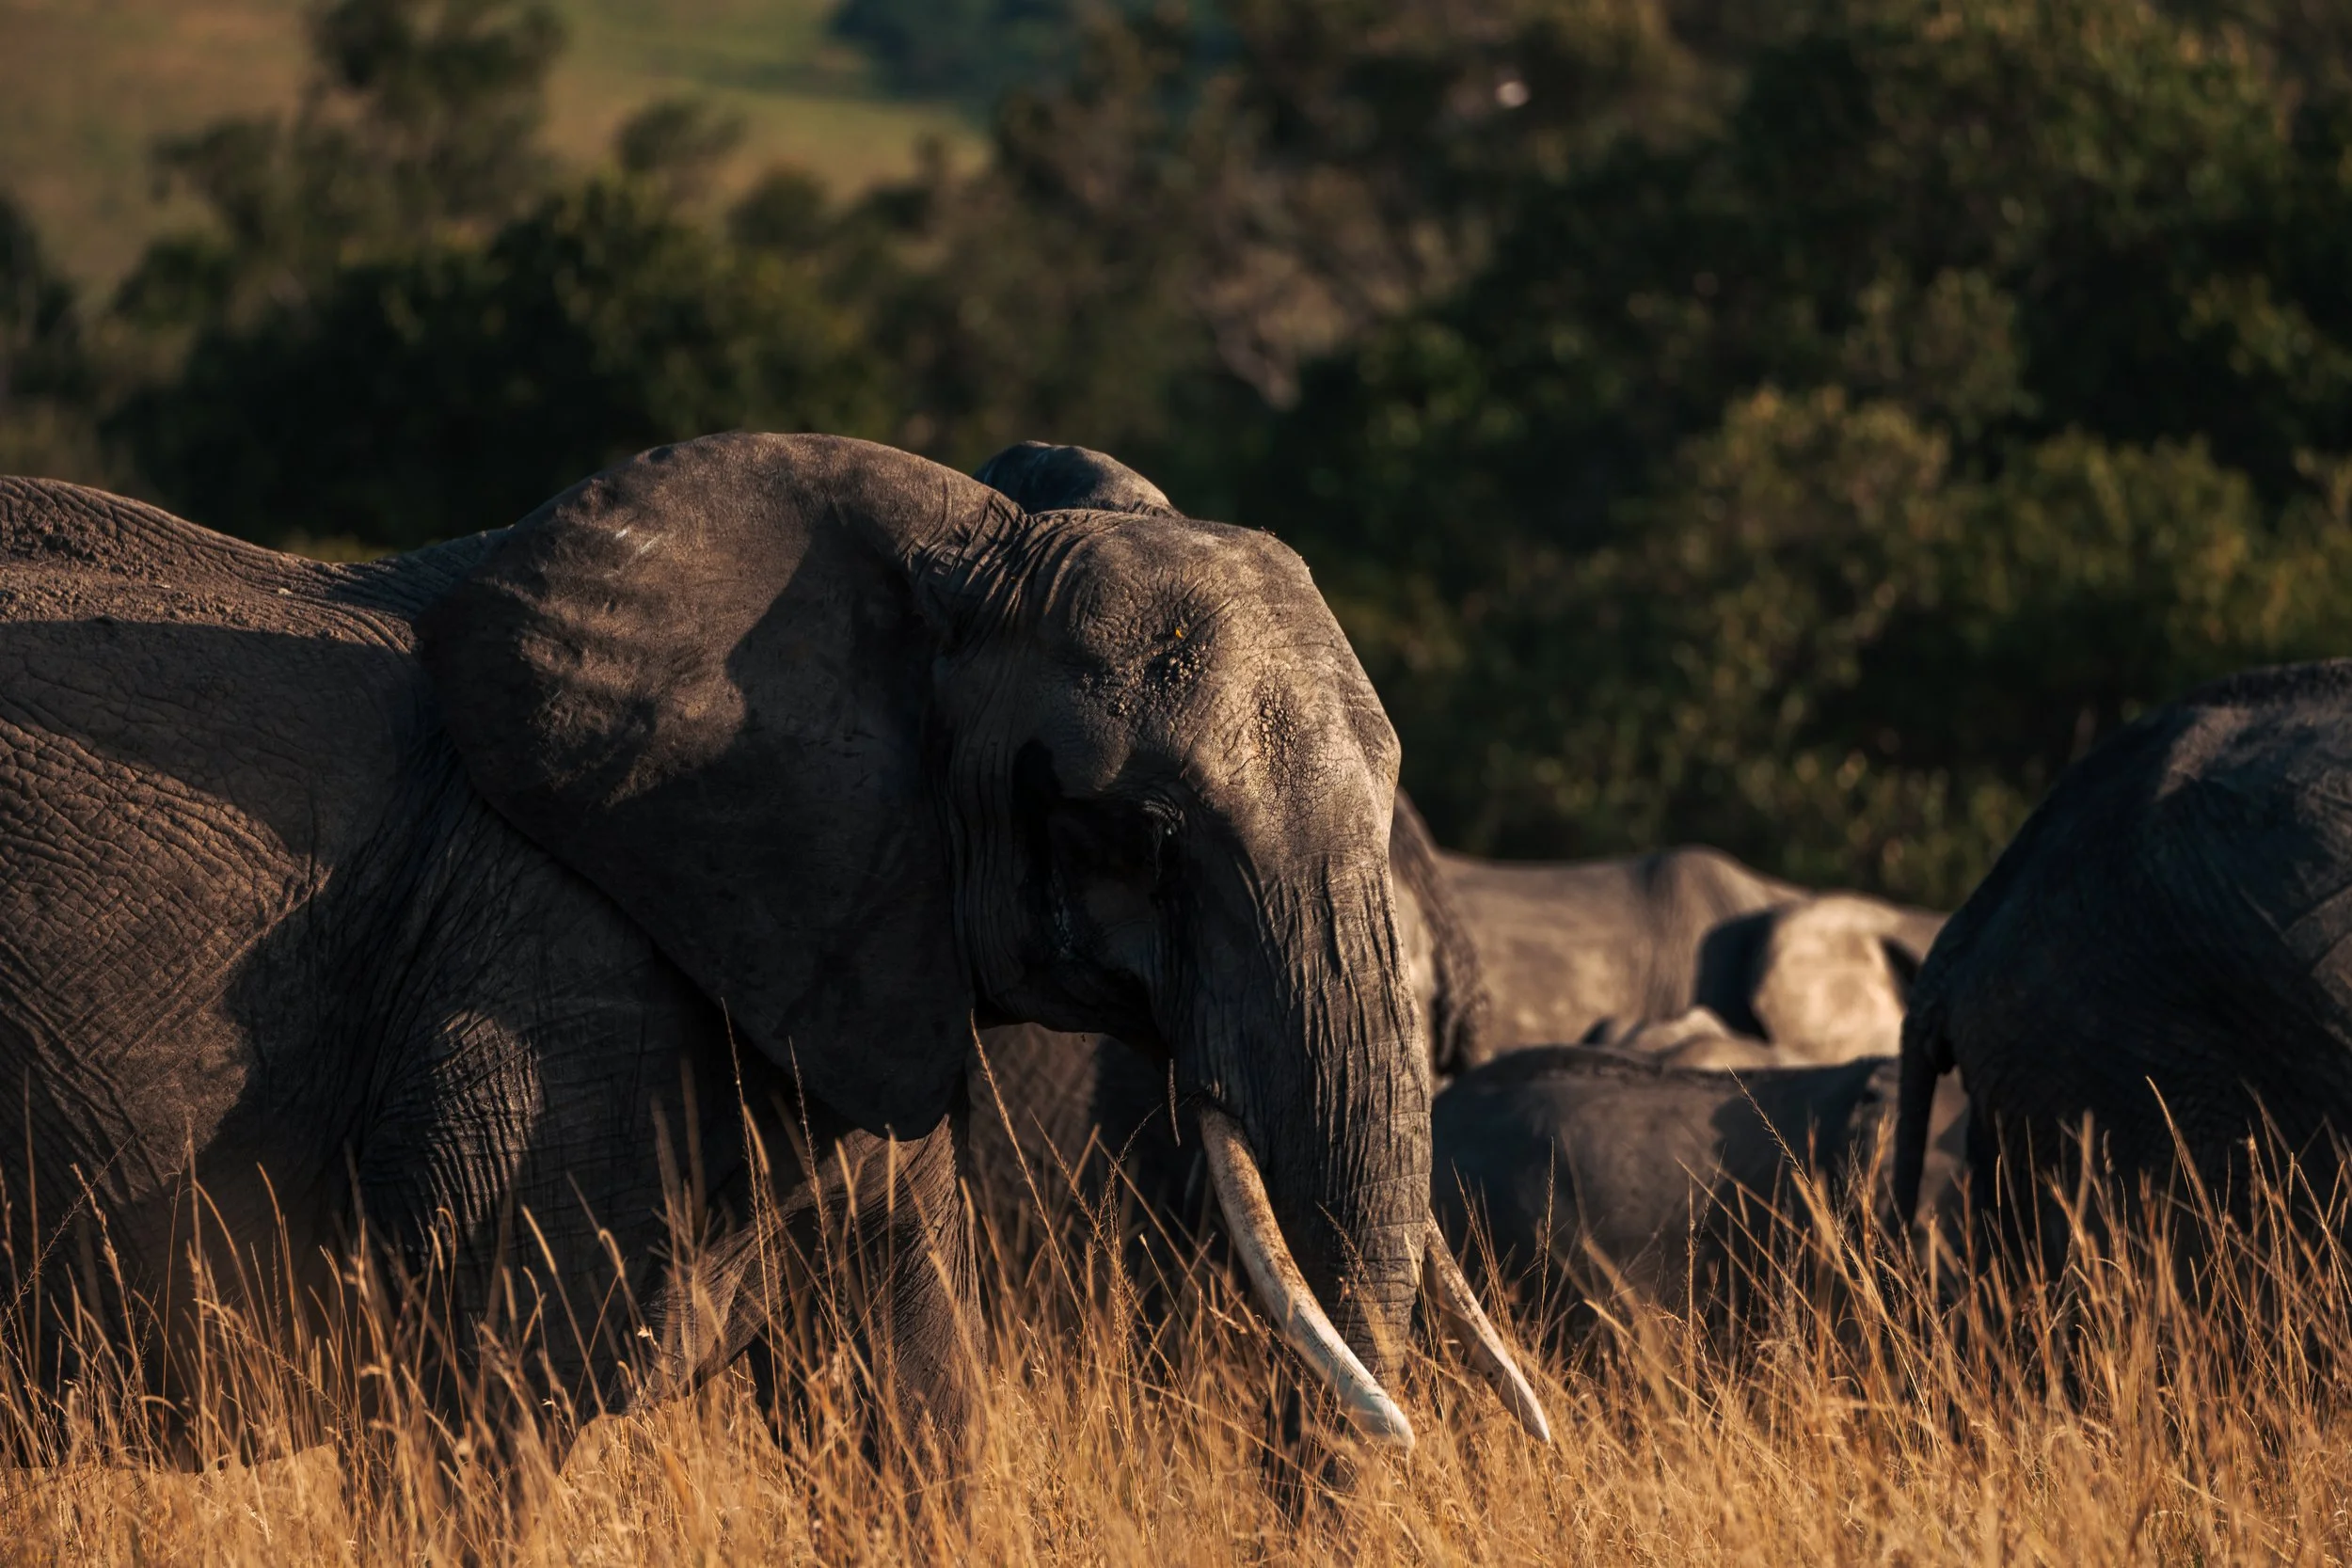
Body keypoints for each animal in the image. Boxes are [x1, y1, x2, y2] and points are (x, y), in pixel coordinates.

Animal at [0, 435, 1547, 1510]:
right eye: (1140, 834)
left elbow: (905, 1404)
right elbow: (474, 1409)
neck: (953, 554)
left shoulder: (848, 935)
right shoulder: (536, 973)